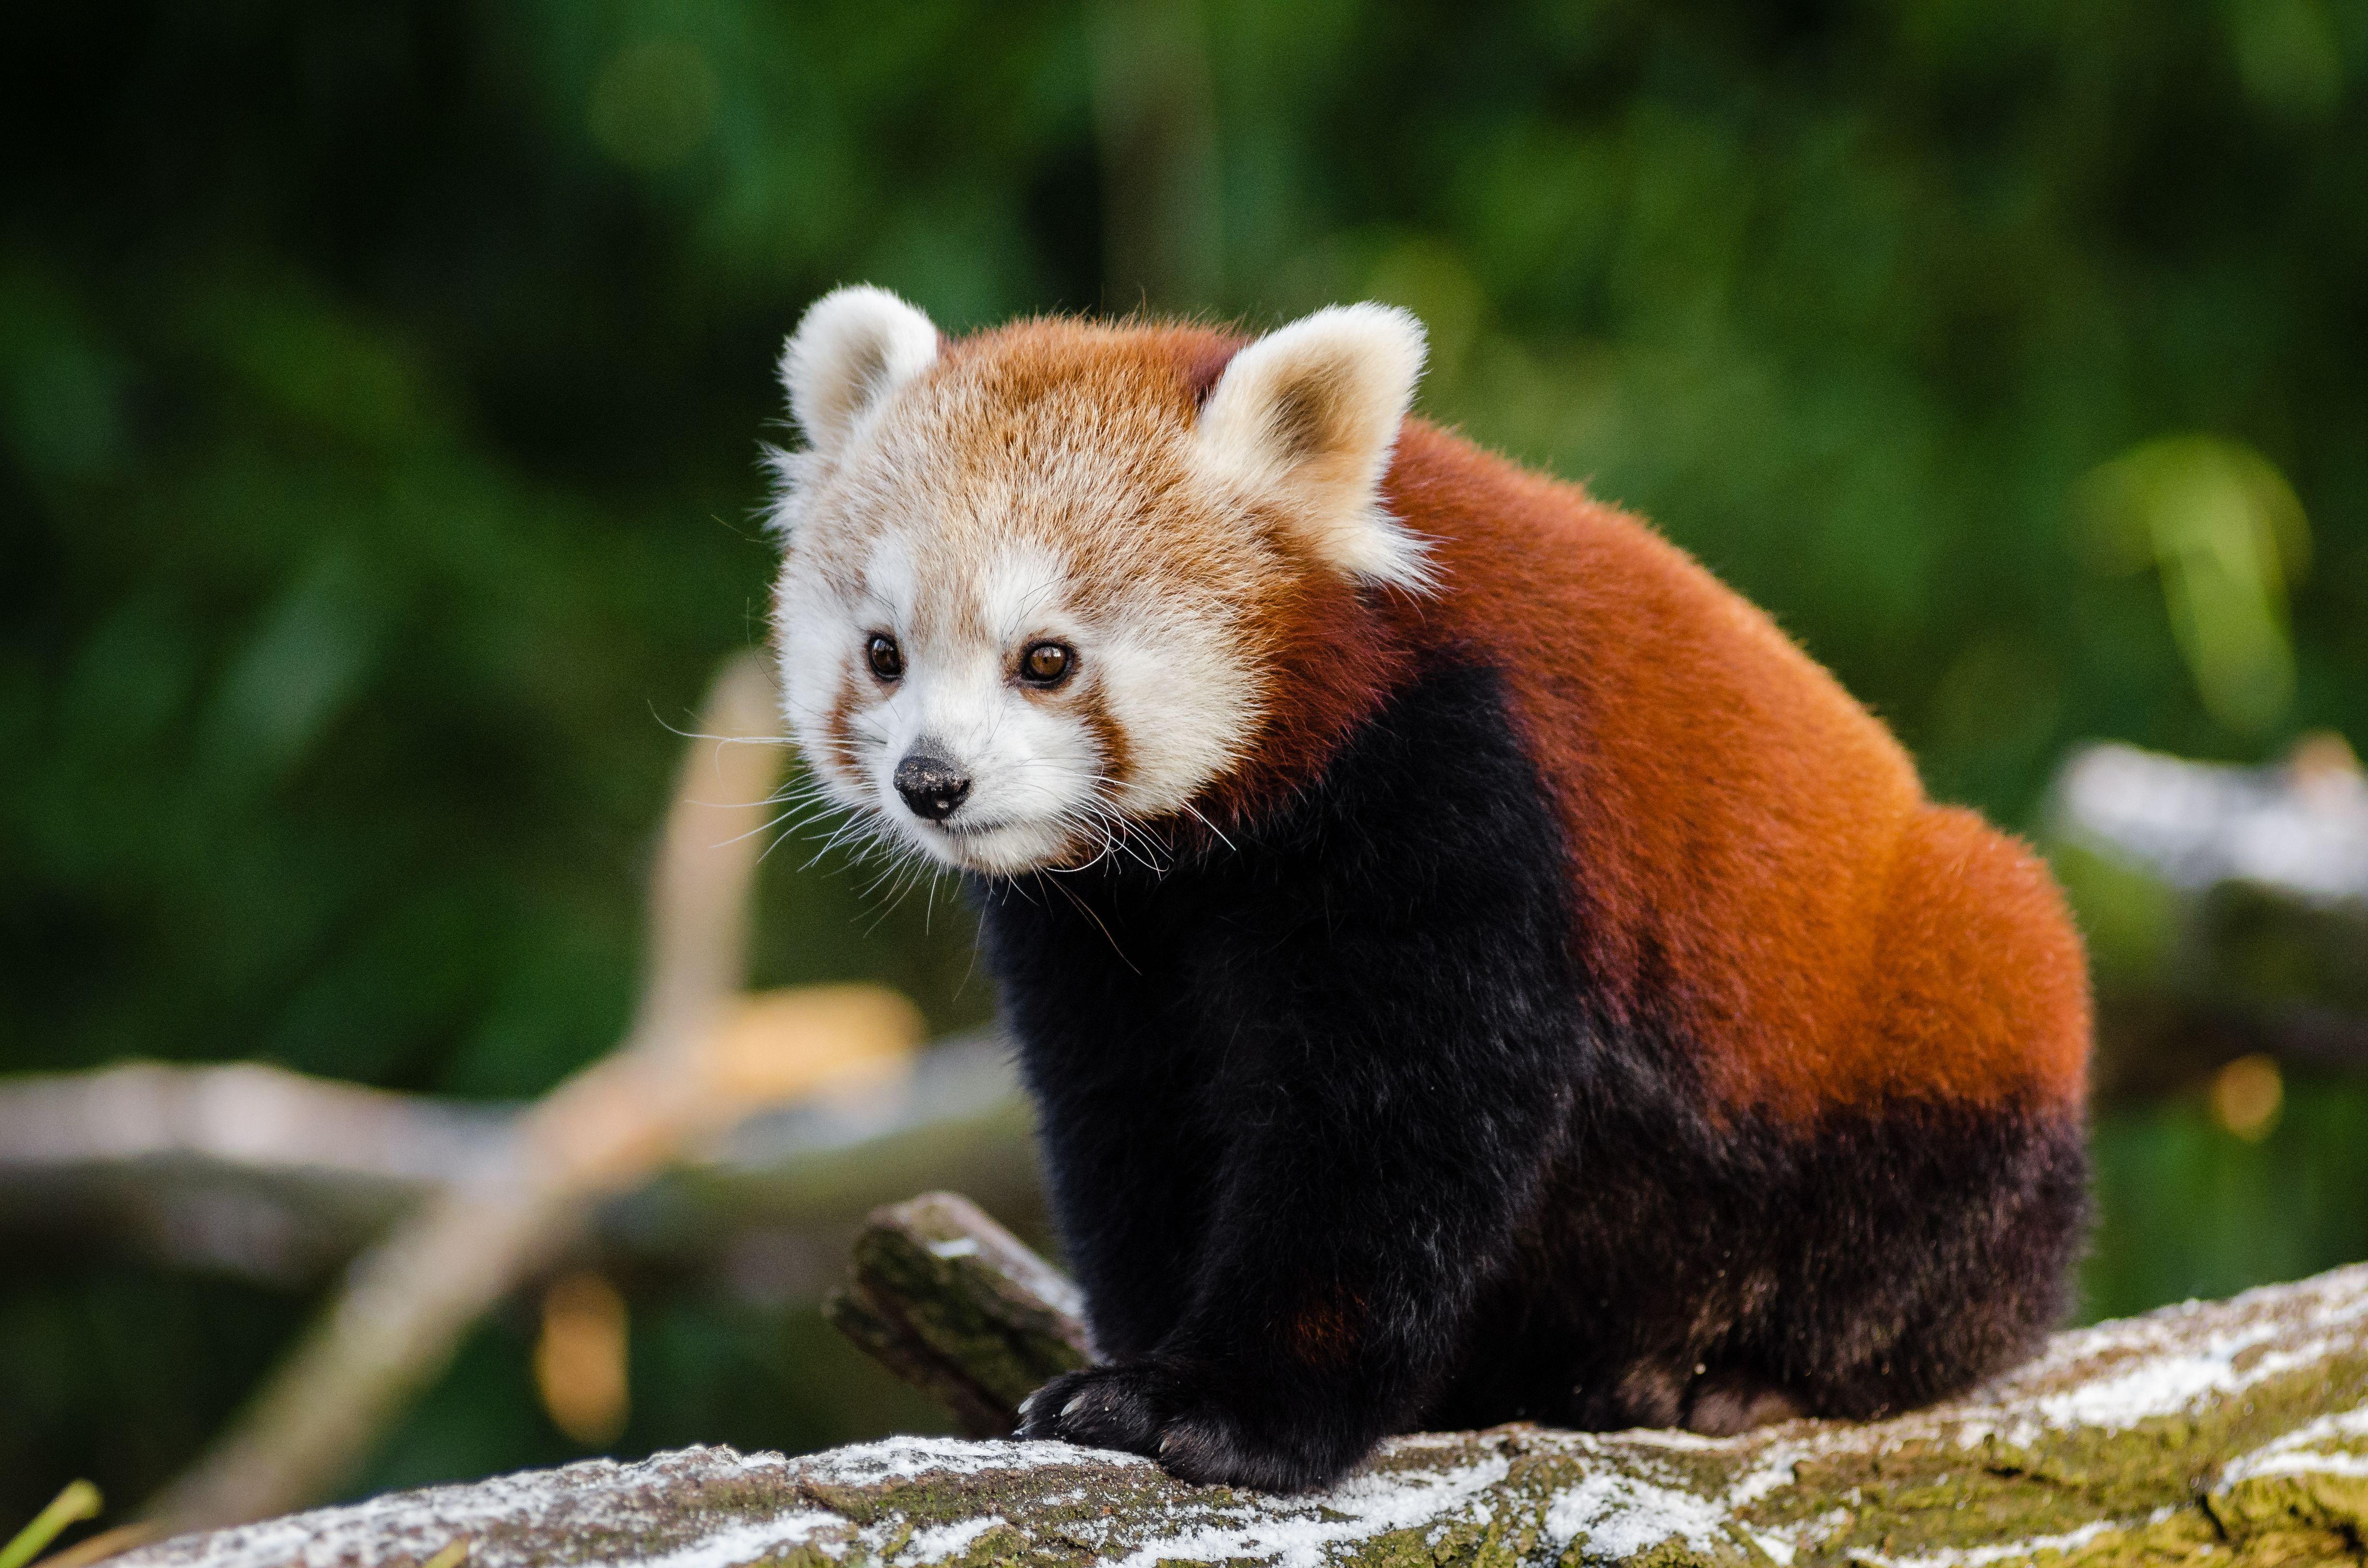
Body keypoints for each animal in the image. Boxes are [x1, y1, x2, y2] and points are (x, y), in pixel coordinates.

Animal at [764, 286, 2090, 1493]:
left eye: (1046, 660)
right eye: (883, 654)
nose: (931, 781)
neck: (1215, 847)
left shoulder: (1460, 784)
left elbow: (1393, 1129)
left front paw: (1222, 1406)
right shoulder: (1107, 930)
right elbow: (1131, 1114)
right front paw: (1136, 1355)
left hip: (1918, 1007)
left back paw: (1742, 1375)